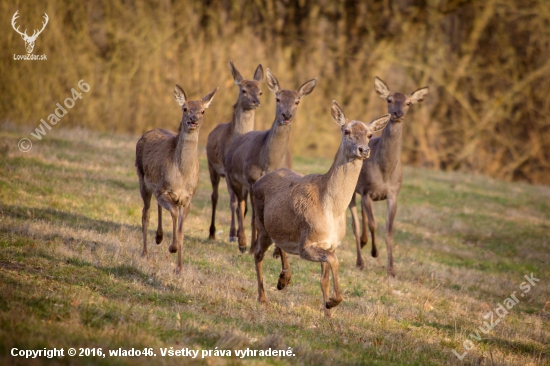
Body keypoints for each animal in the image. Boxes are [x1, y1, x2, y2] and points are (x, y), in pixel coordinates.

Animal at [136, 84, 218, 274]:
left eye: (203, 111)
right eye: (185, 108)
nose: (193, 120)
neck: (181, 176)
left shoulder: (187, 199)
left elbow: (181, 231)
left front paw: (179, 268)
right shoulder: (163, 191)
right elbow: (172, 213)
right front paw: (171, 247)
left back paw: (159, 237)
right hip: (142, 178)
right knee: (146, 212)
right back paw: (145, 253)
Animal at [208, 61, 266, 242]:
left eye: (260, 91)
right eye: (243, 90)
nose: (256, 101)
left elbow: (244, 205)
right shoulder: (228, 171)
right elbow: (234, 202)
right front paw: (233, 235)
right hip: (211, 167)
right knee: (215, 197)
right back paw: (212, 233)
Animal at [225, 70, 320, 256]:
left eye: (297, 101)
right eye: (278, 98)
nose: (286, 116)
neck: (269, 163)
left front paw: (277, 252)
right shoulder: (253, 180)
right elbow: (254, 218)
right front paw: (253, 247)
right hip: (233, 178)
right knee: (239, 205)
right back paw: (242, 243)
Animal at [252, 101, 390, 318]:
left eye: (369, 135)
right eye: (346, 131)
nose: (363, 150)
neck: (332, 211)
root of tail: (258, 182)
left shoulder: (332, 244)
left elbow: (324, 278)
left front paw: (328, 312)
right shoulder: (307, 243)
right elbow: (334, 261)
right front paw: (333, 301)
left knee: (279, 244)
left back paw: (284, 280)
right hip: (261, 223)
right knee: (258, 253)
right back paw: (263, 298)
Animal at [350, 78, 432, 278]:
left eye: (408, 103)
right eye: (389, 99)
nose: (397, 113)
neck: (385, 172)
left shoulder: (394, 194)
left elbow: (389, 230)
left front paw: (392, 269)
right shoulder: (367, 191)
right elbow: (374, 224)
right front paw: (375, 252)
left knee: (362, 217)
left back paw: (364, 243)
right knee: (355, 224)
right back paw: (360, 261)